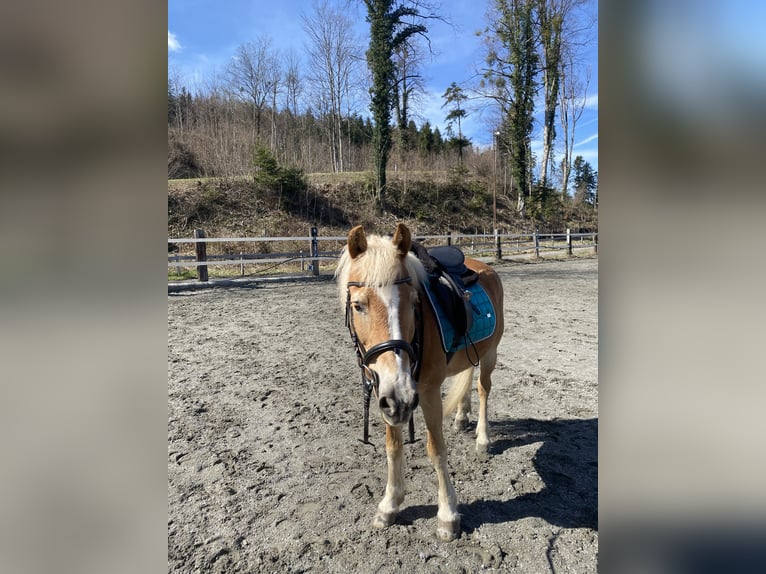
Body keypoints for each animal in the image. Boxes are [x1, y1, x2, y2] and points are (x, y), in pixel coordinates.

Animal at [334, 223, 504, 544]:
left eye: (414, 303)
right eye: (358, 305)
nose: (401, 395)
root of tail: (484, 266)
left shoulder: (426, 392)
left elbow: (436, 449)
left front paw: (448, 515)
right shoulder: (385, 394)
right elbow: (393, 446)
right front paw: (389, 505)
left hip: (490, 354)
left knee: (483, 388)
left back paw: (482, 439)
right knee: (468, 377)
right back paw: (461, 417)